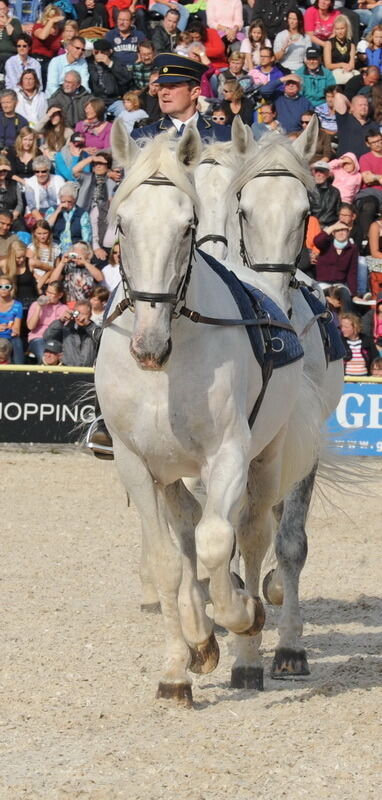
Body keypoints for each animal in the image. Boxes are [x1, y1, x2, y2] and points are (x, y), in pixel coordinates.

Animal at [95, 122, 322, 704]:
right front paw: (181, 665)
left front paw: (240, 616)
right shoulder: (136, 464)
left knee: (256, 537)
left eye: (186, 226)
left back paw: (253, 650)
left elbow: (220, 543)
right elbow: (168, 560)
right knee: (189, 537)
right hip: (176, 476)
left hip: (267, 461)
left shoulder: (229, 455)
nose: (148, 345)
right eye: (122, 225)